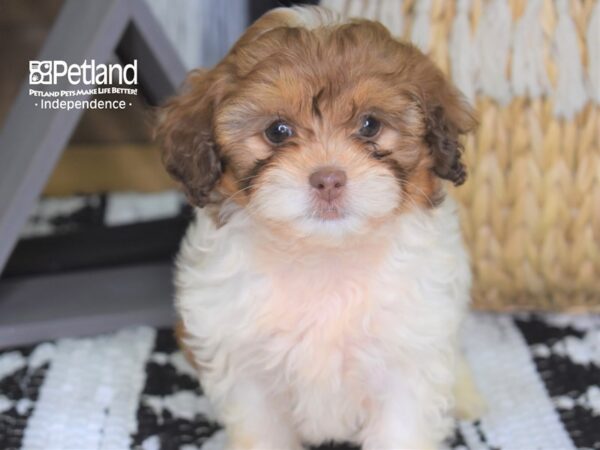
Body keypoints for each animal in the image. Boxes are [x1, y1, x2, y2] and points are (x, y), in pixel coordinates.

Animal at [157, 7, 480, 450]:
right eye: (277, 131)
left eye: (370, 125)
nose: (328, 179)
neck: (324, 253)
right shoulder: (245, 367)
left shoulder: (408, 359)